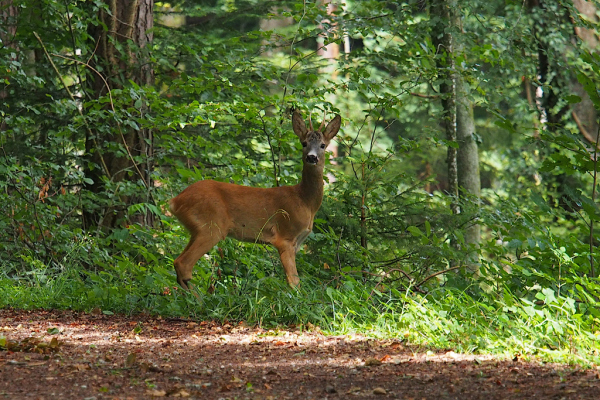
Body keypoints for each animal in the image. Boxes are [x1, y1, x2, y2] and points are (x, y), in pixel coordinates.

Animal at [170, 111, 342, 290]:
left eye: (323, 145)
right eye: (304, 143)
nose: (312, 157)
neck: (305, 201)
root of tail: (175, 201)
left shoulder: (297, 243)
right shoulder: (285, 237)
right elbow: (294, 283)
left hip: (197, 230)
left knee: (178, 264)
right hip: (211, 226)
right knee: (184, 264)